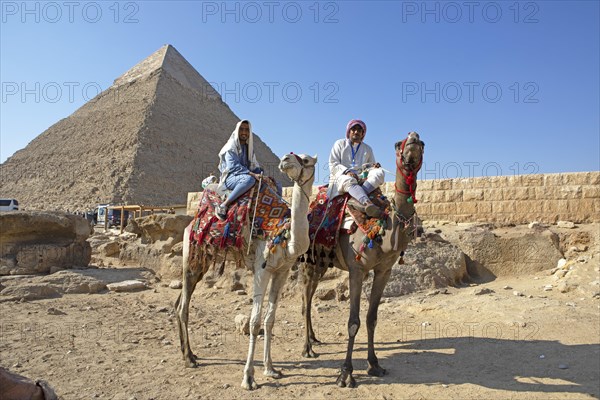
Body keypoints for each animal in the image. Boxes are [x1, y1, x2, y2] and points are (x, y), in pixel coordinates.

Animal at [298, 132, 422, 388]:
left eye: (422, 144)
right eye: (398, 144)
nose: (414, 138)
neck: (384, 228)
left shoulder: (384, 271)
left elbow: (371, 318)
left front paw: (374, 364)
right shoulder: (357, 269)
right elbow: (353, 322)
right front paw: (346, 374)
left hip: (321, 263)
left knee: (311, 296)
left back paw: (314, 338)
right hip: (308, 260)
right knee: (305, 300)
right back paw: (307, 348)